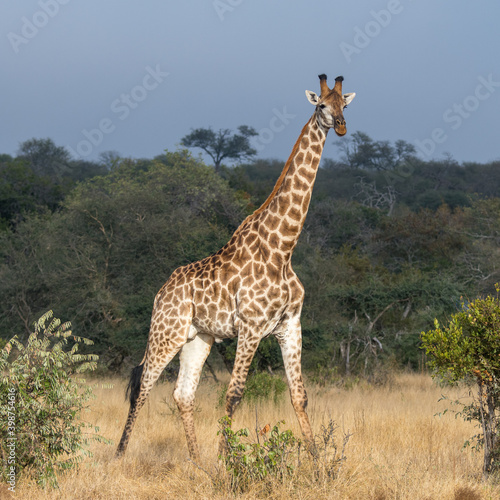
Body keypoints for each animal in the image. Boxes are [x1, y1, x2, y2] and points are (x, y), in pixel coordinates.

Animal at [115, 73, 356, 460]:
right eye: (321, 105)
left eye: (344, 104)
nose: (342, 126)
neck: (283, 248)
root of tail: (161, 290)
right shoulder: (252, 327)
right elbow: (234, 395)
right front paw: (228, 462)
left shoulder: (290, 325)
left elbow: (299, 396)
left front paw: (318, 463)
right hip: (166, 331)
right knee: (143, 384)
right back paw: (120, 456)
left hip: (198, 338)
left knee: (183, 394)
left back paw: (198, 463)